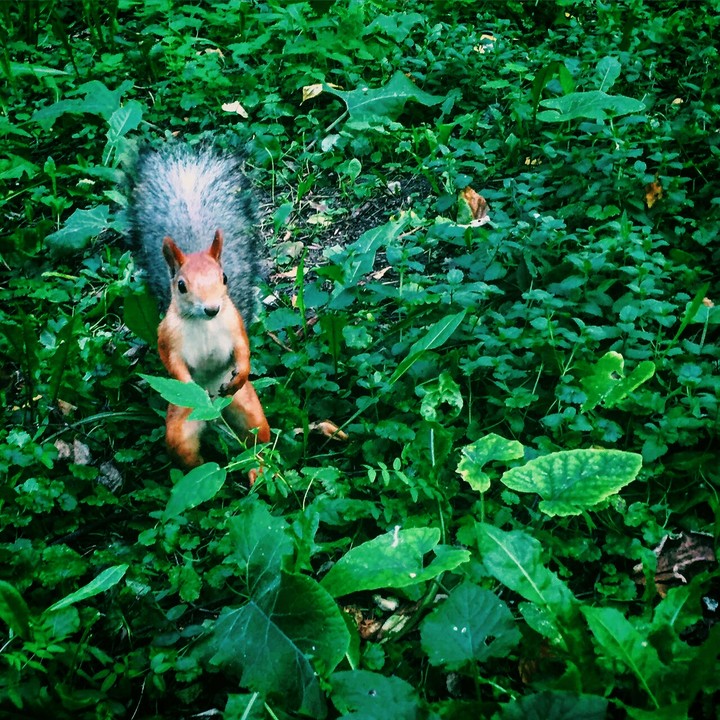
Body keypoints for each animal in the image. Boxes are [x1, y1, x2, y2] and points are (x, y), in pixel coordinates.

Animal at [128, 143, 270, 469]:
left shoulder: (234, 324)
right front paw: (189, 384)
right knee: (187, 454)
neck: (204, 324)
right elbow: (172, 363)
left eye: (224, 277)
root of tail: (215, 415)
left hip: (247, 408)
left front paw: (242, 371)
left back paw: (254, 469)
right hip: (181, 424)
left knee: (260, 440)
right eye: (181, 286)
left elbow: (243, 349)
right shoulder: (166, 336)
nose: (212, 308)